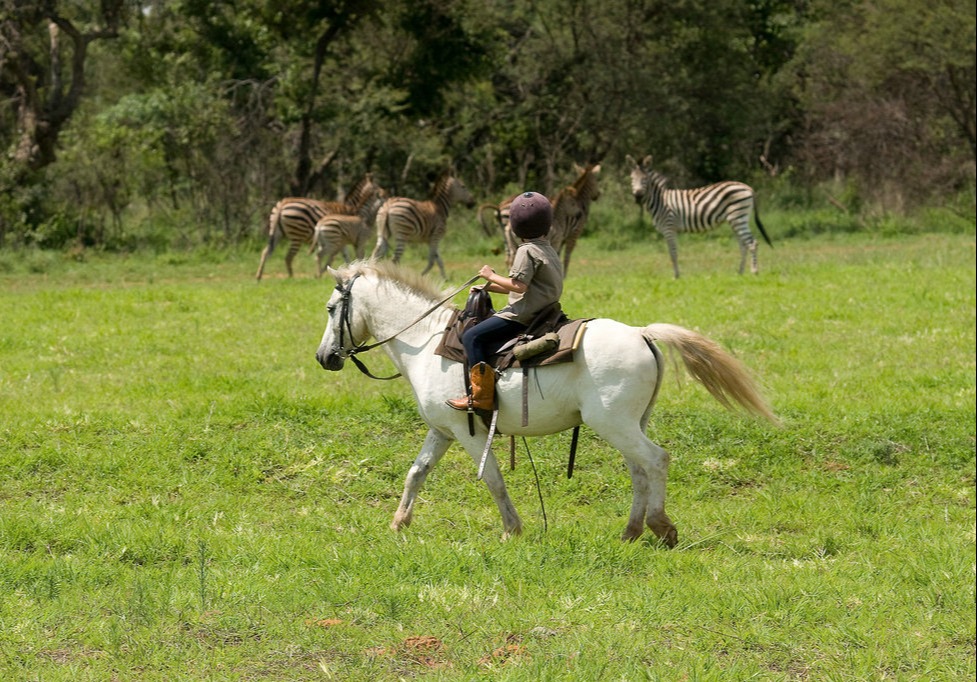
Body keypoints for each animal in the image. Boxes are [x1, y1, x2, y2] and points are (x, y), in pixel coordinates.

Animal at [314, 258, 776, 544]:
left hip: (614, 424)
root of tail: (643, 333)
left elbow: (493, 479)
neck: (426, 341)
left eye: (332, 307)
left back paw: (661, 527)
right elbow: (417, 473)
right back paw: (630, 531)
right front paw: (399, 523)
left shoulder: (468, 431)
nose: (324, 358)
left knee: (656, 461)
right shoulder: (441, 430)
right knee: (640, 470)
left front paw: (511, 529)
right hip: (627, 425)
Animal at [624, 155, 772, 278]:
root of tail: (748, 187)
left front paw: (676, 276)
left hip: (738, 217)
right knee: (743, 245)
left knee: (752, 243)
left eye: (645, 179)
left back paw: (754, 271)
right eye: (632, 179)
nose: (637, 196)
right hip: (736, 219)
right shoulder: (670, 229)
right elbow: (673, 252)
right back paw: (740, 272)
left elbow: (673, 253)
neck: (660, 201)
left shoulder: (669, 228)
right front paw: (677, 275)